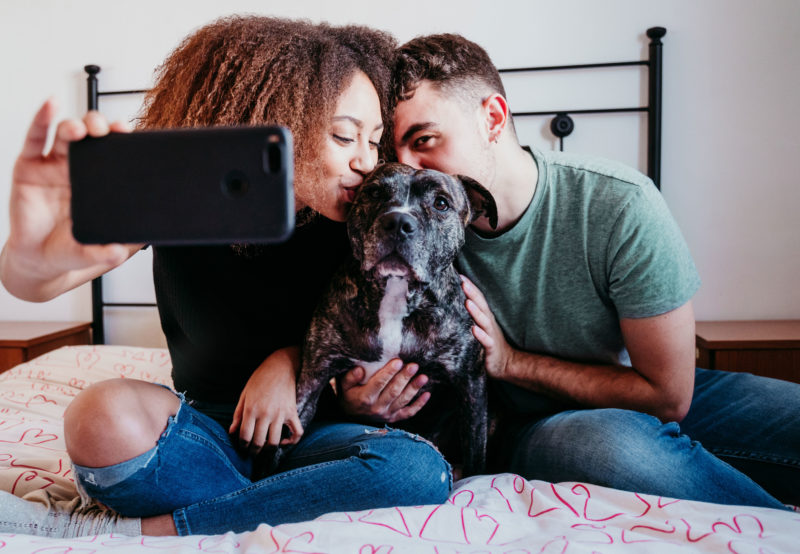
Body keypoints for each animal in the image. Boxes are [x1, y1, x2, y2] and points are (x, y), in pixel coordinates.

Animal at [272, 161, 494, 474]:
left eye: (441, 203)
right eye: (374, 193)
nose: (399, 222)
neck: (395, 293)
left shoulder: (472, 385)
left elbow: (476, 454)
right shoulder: (312, 378)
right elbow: (281, 446)